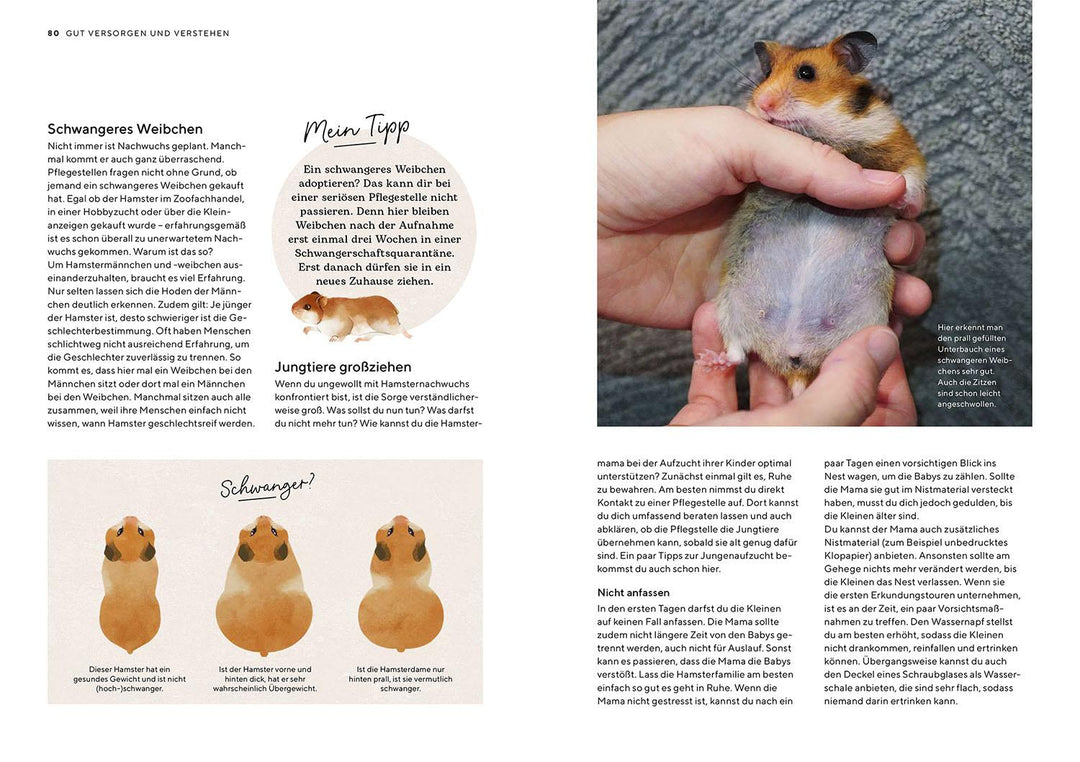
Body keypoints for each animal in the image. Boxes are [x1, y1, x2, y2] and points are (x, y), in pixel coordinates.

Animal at [700, 31, 926, 395]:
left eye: (806, 73)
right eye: (766, 74)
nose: (762, 103)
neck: (821, 132)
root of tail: (794, 359)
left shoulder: (899, 145)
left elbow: (911, 178)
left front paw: (905, 204)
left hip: (868, 316)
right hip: (729, 305)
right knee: (737, 351)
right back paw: (711, 361)